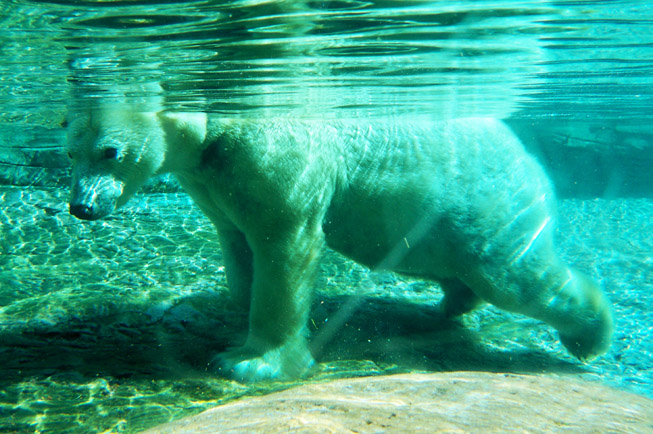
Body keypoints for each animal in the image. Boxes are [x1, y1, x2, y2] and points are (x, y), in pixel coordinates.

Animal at [65, 96, 612, 382]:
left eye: (110, 150)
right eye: (70, 152)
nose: (81, 206)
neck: (215, 130)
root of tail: (526, 154)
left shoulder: (270, 154)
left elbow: (284, 246)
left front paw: (250, 360)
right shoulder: (211, 183)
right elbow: (237, 245)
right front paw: (217, 311)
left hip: (485, 203)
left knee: (515, 276)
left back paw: (589, 335)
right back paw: (451, 303)